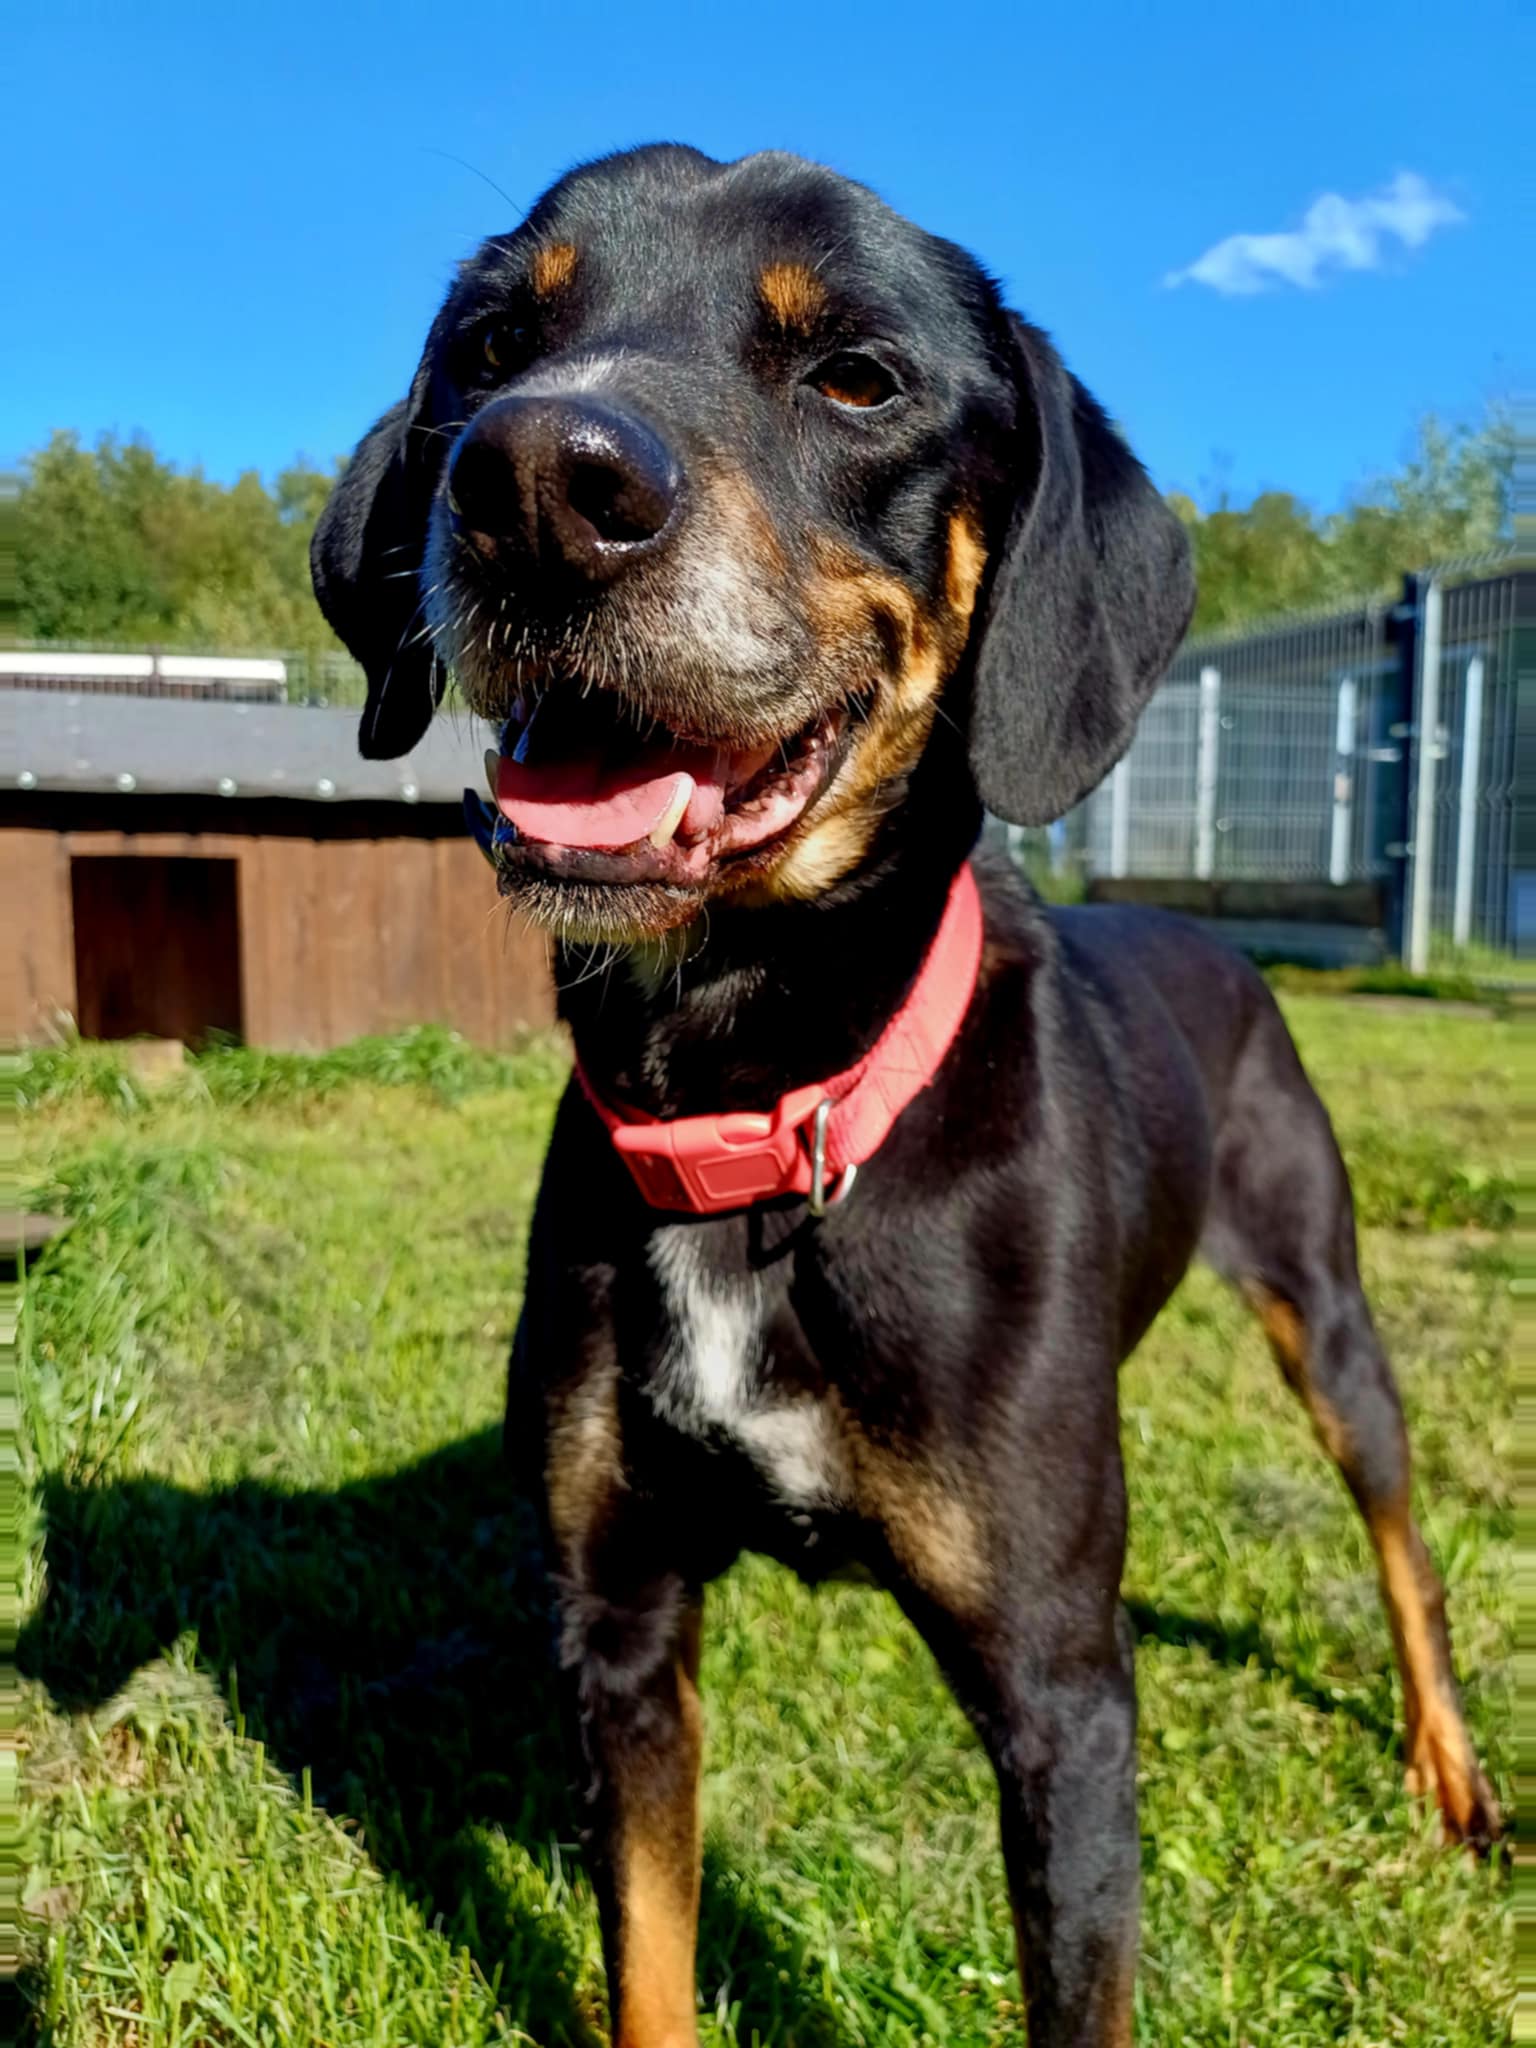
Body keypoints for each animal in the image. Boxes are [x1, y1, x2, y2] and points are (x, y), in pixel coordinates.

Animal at [312, 144, 1498, 2046]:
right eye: (490, 343)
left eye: (857, 377)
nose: (533, 481)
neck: (760, 1106)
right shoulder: (618, 1626)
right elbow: (649, 1964)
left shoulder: (1063, 1698)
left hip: (1329, 1313)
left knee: (1406, 1548)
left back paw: (1451, 1771)